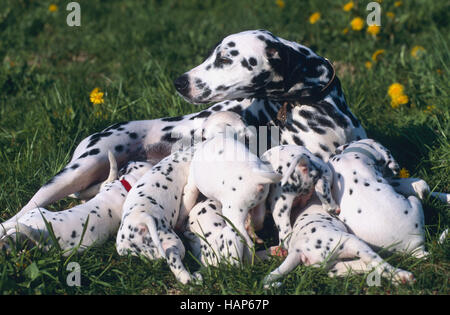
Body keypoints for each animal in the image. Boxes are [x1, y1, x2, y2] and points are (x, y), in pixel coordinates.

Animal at [264, 195, 414, 288]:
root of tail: (297, 249)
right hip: (352, 242)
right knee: (377, 263)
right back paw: (402, 276)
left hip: (334, 262)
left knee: (346, 269)